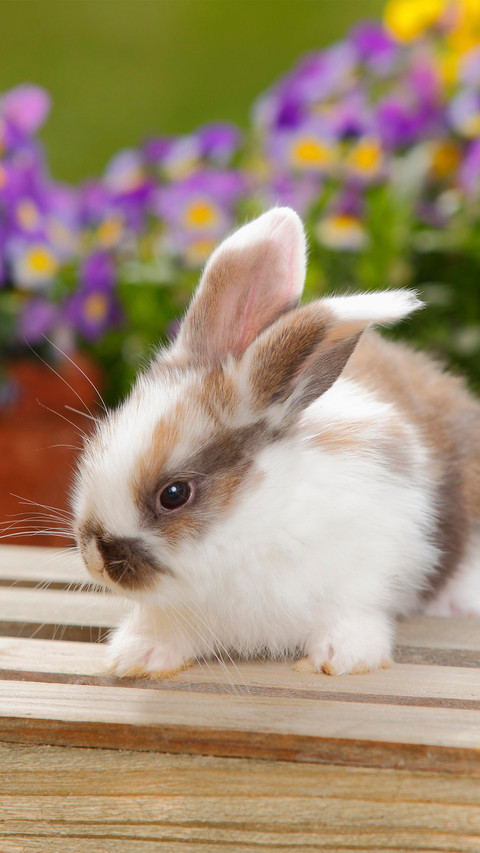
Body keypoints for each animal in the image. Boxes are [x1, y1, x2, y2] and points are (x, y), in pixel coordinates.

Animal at [73, 207, 480, 678]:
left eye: (174, 495)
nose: (96, 559)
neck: (252, 526)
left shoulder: (368, 574)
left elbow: (354, 616)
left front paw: (342, 658)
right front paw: (138, 656)